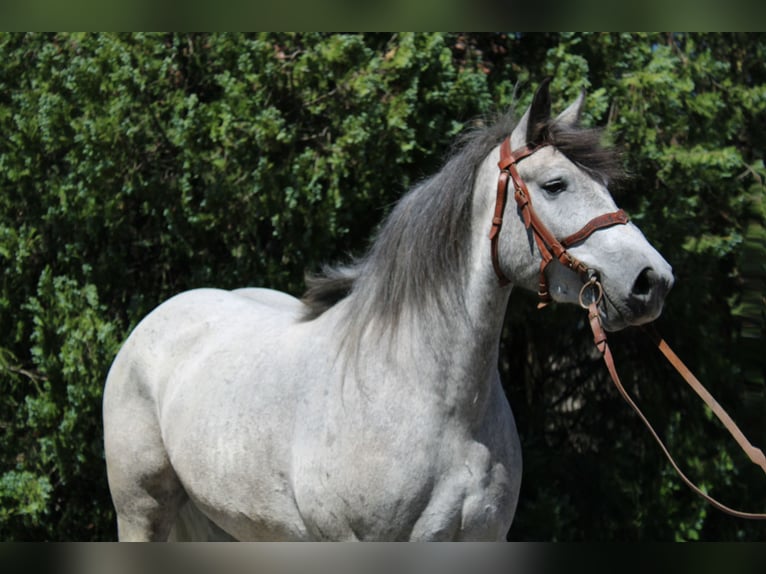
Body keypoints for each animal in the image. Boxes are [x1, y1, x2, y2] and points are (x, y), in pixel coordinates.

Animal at [103, 80, 674, 541]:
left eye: (607, 186)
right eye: (555, 185)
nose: (653, 281)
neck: (425, 395)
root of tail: (155, 323)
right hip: (142, 513)